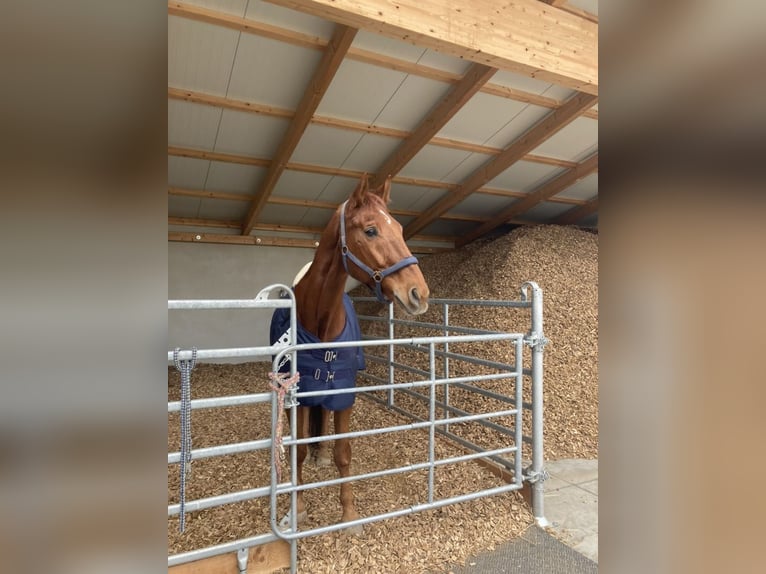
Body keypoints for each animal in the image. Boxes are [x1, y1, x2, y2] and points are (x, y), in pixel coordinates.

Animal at [270, 174, 428, 536]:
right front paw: (299, 508)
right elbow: (297, 452)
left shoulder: (343, 391)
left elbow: (344, 452)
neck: (322, 320)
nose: (420, 293)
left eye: (399, 228)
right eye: (370, 230)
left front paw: (350, 514)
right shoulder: (300, 394)